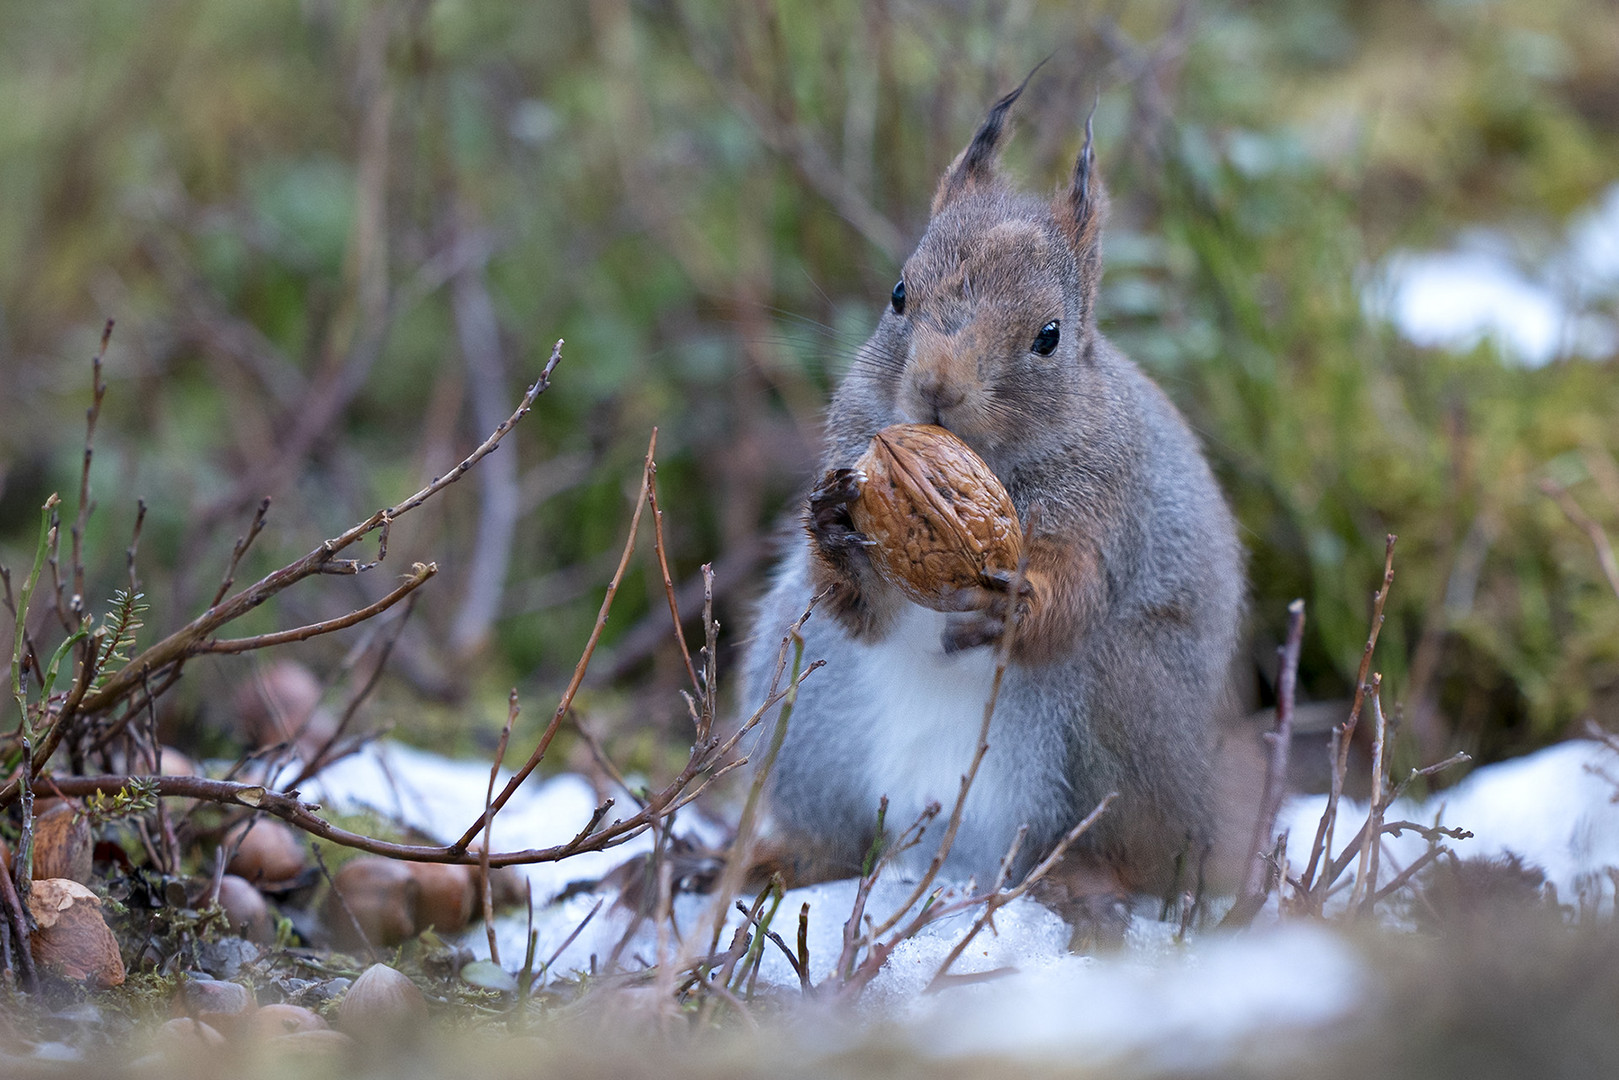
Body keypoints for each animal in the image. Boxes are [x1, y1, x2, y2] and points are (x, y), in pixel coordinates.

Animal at [741, 78, 1243, 919]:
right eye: (898, 294)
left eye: (1048, 335)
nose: (937, 387)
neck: (990, 464)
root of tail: (947, 855)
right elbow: (862, 612)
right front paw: (835, 529)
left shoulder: (1108, 509)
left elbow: (1074, 594)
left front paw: (1011, 607)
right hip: (805, 717)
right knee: (837, 837)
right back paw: (778, 861)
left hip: (1125, 710)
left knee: (1135, 855)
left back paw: (1087, 881)